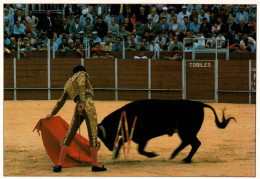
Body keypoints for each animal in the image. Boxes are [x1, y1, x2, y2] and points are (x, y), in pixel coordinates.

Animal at [98, 99, 236, 162]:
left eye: (106, 135)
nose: (110, 148)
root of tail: (199, 104)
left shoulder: (143, 137)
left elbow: (139, 149)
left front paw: (152, 154)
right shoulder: (133, 136)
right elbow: (123, 142)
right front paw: (115, 155)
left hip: (187, 131)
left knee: (195, 143)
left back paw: (185, 159)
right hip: (184, 132)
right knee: (189, 143)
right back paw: (174, 155)